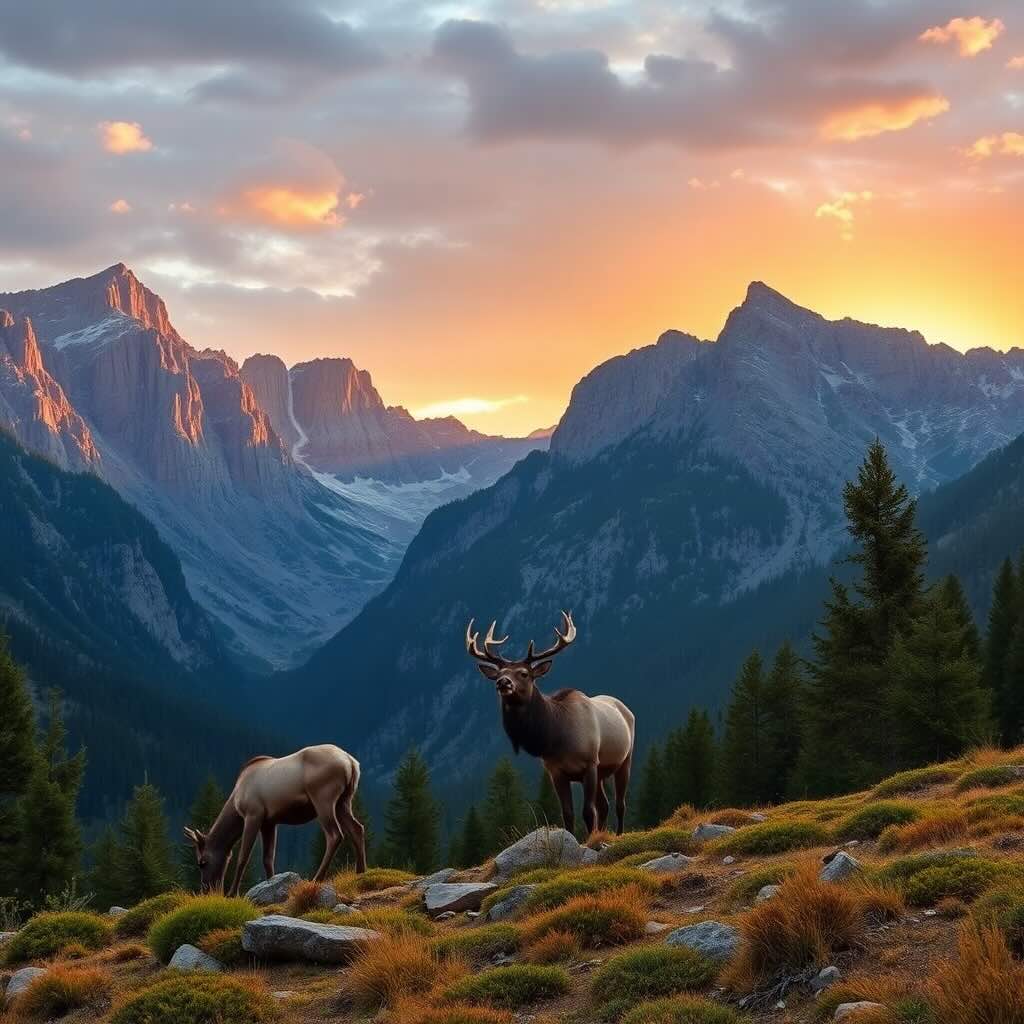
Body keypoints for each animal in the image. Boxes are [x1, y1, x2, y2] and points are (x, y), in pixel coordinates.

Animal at [183, 744, 366, 896]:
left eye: (202, 862)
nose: (206, 890)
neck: (235, 802)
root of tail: (351, 763)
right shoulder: (269, 822)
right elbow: (268, 859)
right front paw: (271, 885)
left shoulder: (253, 815)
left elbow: (243, 857)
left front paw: (232, 893)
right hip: (344, 800)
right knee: (357, 828)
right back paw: (361, 871)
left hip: (323, 798)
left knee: (335, 834)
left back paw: (317, 878)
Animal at [466, 611, 635, 837]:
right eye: (500, 673)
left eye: (524, 673)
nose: (502, 682)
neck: (557, 737)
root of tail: (625, 708)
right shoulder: (556, 772)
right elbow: (568, 813)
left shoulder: (590, 763)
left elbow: (587, 811)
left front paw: (590, 840)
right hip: (601, 772)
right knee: (604, 805)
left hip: (624, 759)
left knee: (619, 803)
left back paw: (618, 833)